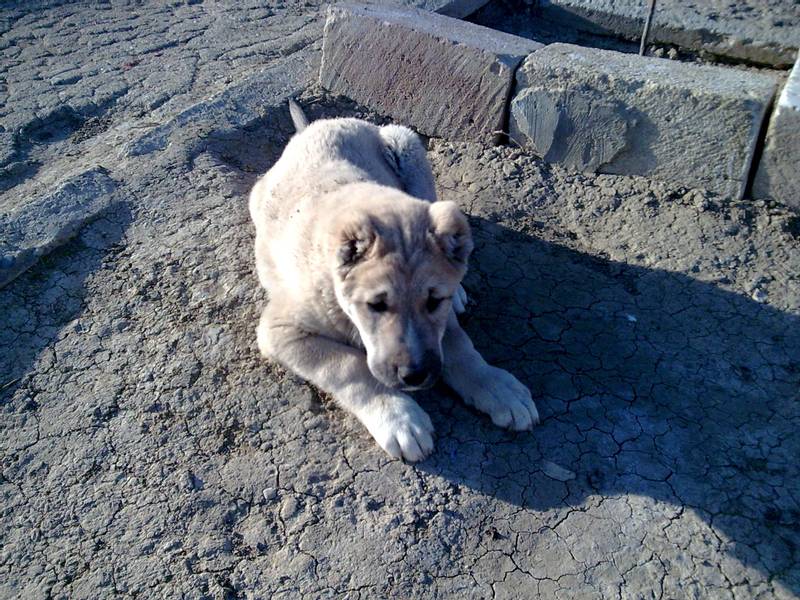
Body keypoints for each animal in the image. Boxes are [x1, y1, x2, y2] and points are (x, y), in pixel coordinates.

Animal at [248, 101, 536, 462]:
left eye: (433, 301)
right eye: (376, 305)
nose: (415, 376)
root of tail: (314, 126)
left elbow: (458, 344)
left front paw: (495, 385)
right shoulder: (280, 331)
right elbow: (348, 366)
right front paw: (399, 416)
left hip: (408, 146)